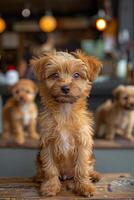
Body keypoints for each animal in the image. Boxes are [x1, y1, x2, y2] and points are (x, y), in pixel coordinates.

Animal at [31, 50, 101, 197]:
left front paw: (85, 187)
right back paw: (39, 177)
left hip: (90, 157)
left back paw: (94, 175)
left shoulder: (82, 142)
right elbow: (50, 168)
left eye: (76, 75)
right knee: (42, 169)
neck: (65, 111)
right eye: (55, 75)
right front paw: (50, 187)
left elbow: (82, 168)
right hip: (39, 159)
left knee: (89, 166)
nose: (65, 88)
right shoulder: (48, 143)